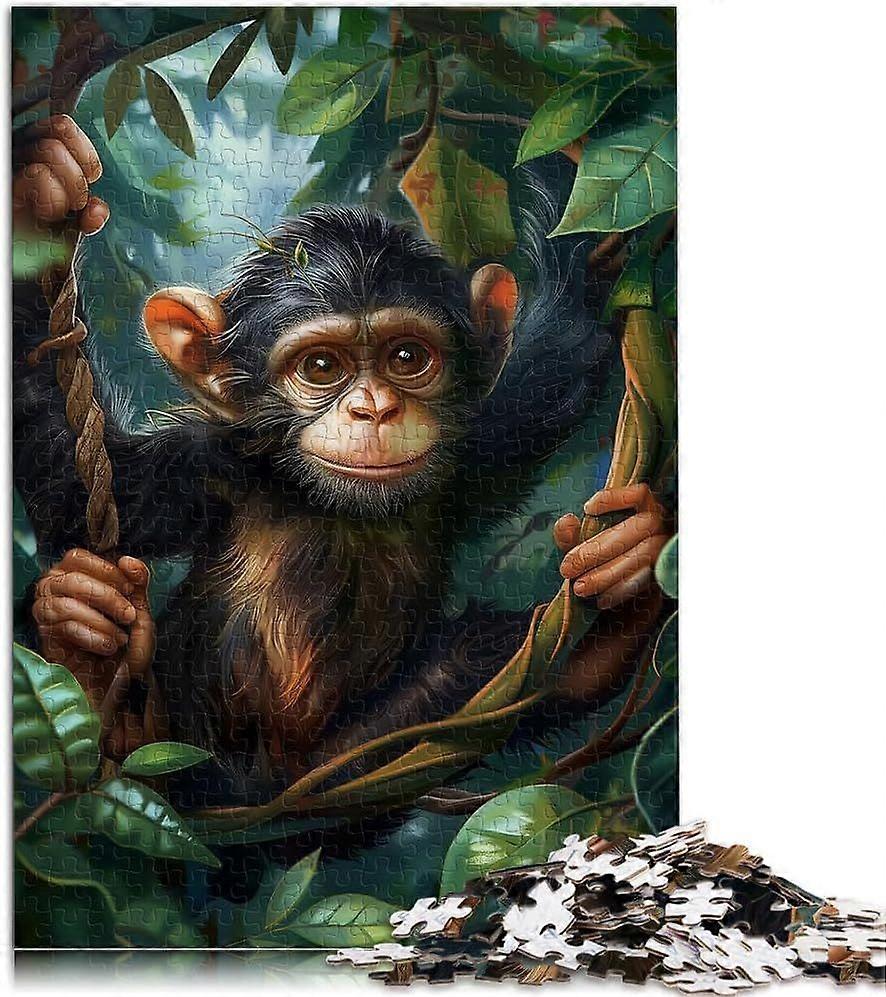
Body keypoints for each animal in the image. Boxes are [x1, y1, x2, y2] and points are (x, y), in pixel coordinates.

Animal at [13, 116, 672, 806]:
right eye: (322, 366)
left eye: (407, 357)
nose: (374, 409)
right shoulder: (210, 465)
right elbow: (77, 483)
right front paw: (39, 196)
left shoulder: (475, 445)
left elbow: (557, 370)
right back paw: (82, 656)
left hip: (354, 758)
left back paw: (614, 613)